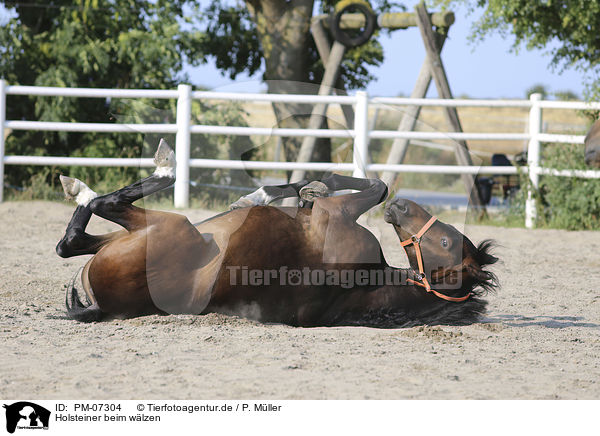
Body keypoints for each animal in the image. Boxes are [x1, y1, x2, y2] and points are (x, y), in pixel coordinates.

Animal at [55, 140, 496, 328]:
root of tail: (102, 305)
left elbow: (370, 186)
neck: (366, 283)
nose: (403, 207)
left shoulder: (334, 214)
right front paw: (272, 194)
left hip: (168, 226)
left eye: (445, 242)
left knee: (101, 210)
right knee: (70, 243)